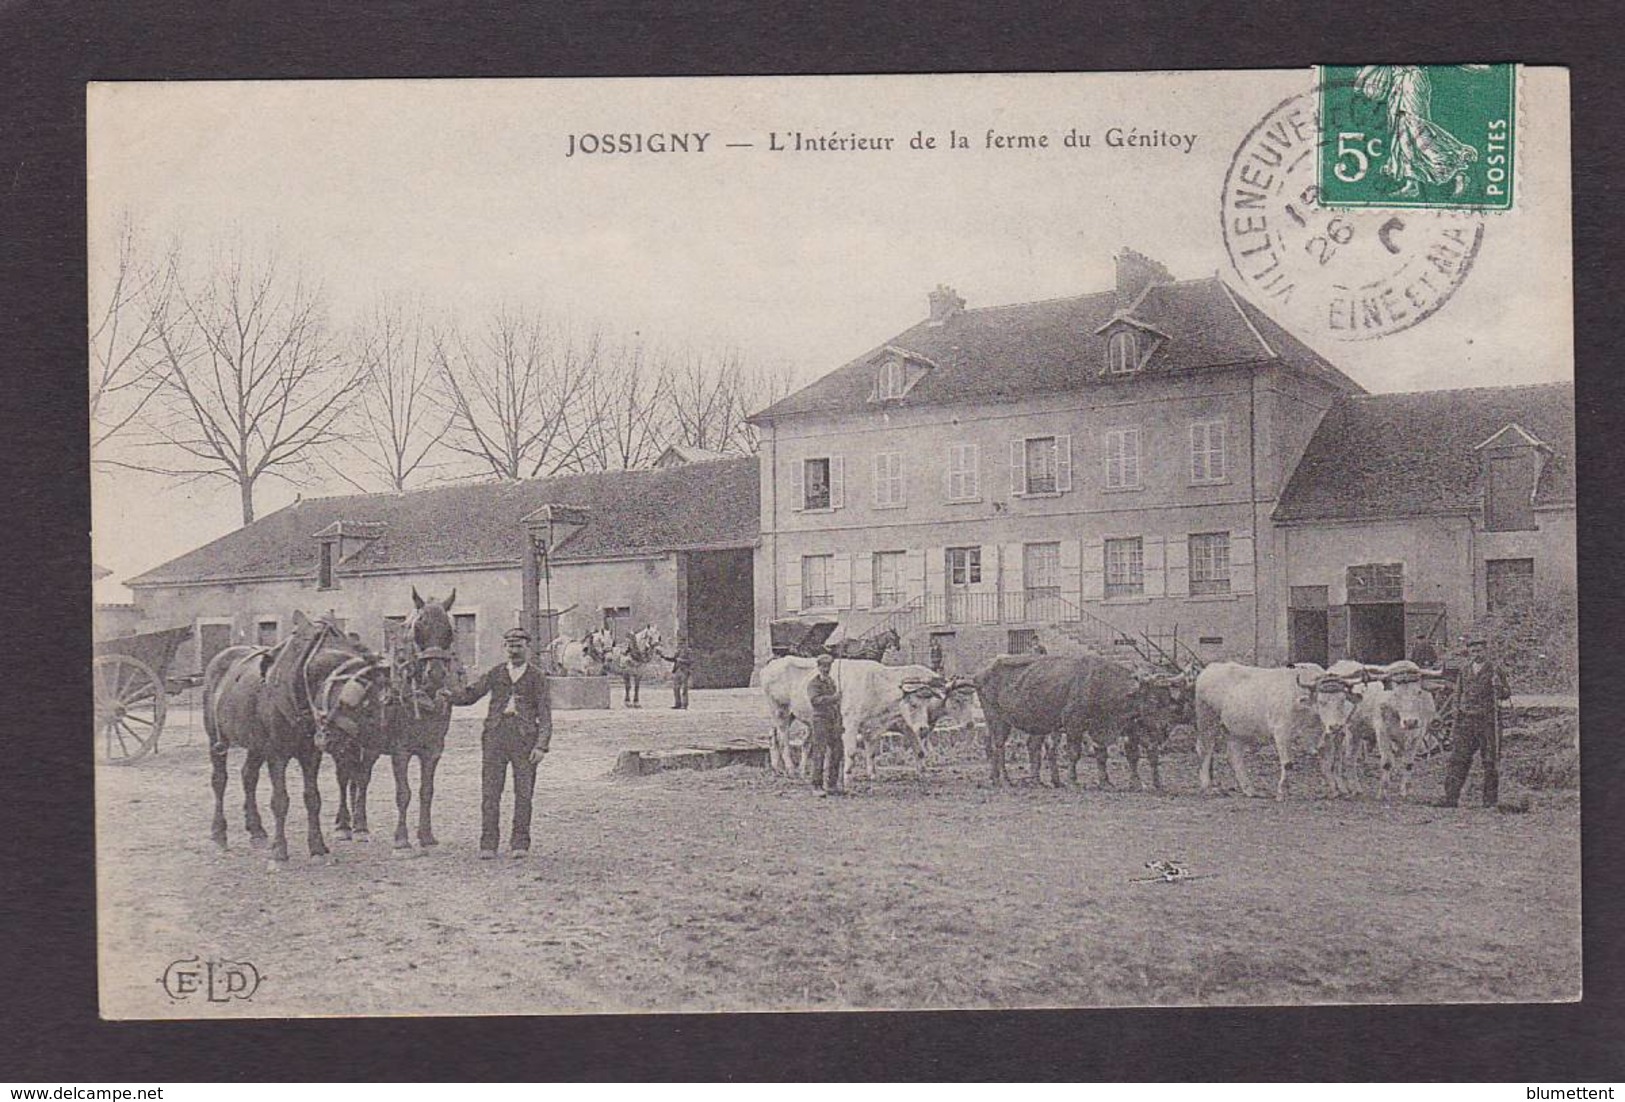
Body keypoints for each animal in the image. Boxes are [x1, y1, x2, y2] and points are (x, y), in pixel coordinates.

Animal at [204, 614, 388, 864]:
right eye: (361, 705)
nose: (336, 740)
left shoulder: (311, 755)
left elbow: (313, 798)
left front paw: (317, 846)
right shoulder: (276, 755)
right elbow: (280, 801)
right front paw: (280, 850)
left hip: (255, 744)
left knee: (248, 776)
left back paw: (256, 831)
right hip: (216, 740)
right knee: (219, 781)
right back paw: (219, 833)